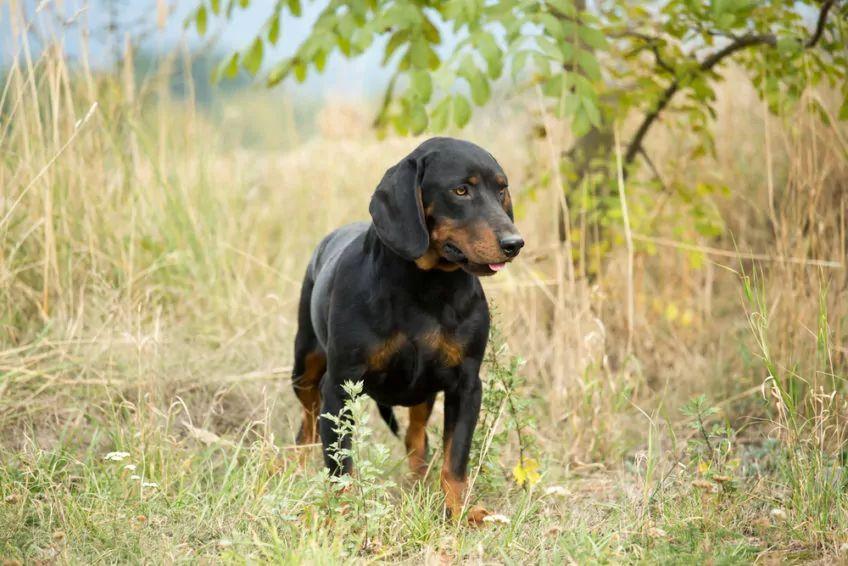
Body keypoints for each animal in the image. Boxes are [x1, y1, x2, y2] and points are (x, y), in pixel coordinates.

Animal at [294, 136, 528, 524]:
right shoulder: (340, 385)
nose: (514, 243)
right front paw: (342, 514)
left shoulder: (466, 386)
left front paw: (460, 511)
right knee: (307, 424)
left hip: (424, 392)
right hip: (306, 368)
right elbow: (340, 462)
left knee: (415, 438)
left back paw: (419, 481)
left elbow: (455, 459)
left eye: (501, 189)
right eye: (460, 190)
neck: (425, 290)